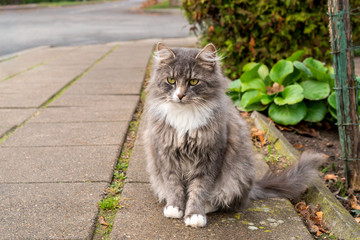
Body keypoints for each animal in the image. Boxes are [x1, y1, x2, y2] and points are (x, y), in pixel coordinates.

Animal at [142, 42, 324, 228]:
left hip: (236, 176)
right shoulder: (166, 154)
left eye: (193, 81)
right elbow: (173, 185)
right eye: (171, 81)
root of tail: (251, 188)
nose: (179, 95)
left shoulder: (211, 156)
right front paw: (175, 208)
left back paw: (207, 207)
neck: (184, 116)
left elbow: (200, 189)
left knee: (225, 200)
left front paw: (194, 215)